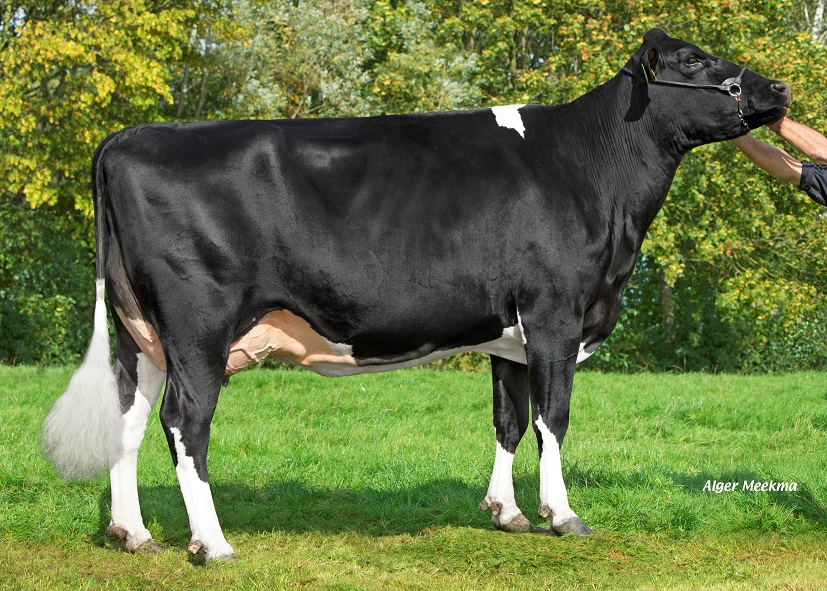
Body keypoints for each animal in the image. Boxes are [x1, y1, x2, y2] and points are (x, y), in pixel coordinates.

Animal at [42, 29, 790, 562]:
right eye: (693, 60)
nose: (780, 86)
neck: (592, 174)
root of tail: (129, 136)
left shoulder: (510, 335)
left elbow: (508, 420)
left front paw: (507, 512)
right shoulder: (556, 312)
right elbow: (552, 418)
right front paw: (563, 514)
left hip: (140, 334)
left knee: (129, 420)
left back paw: (134, 534)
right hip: (198, 323)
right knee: (184, 423)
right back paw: (213, 543)